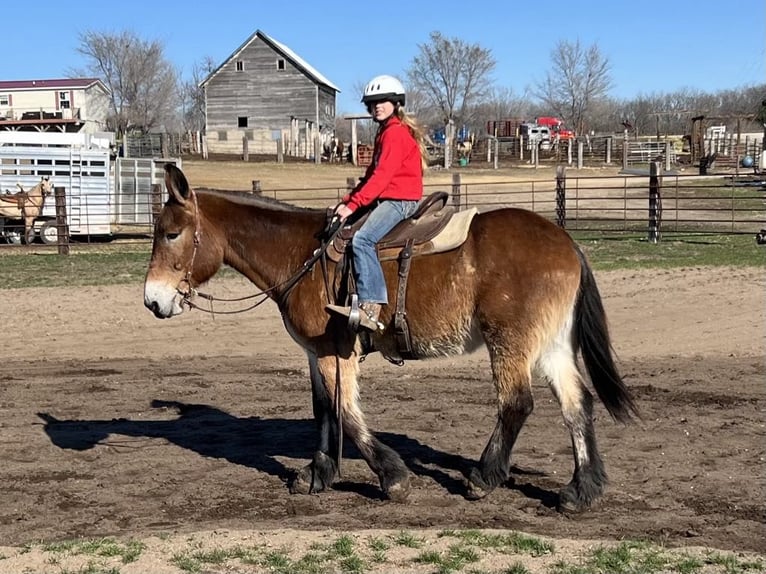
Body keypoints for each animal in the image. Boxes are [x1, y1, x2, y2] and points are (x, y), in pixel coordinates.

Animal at [146, 163, 640, 512]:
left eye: (171, 233)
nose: (152, 300)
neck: (303, 255)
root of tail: (566, 242)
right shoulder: (316, 352)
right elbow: (323, 409)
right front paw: (317, 473)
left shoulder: (335, 351)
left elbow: (346, 413)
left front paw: (393, 477)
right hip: (552, 346)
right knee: (577, 405)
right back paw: (581, 489)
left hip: (510, 342)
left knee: (517, 403)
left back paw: (484, 477)